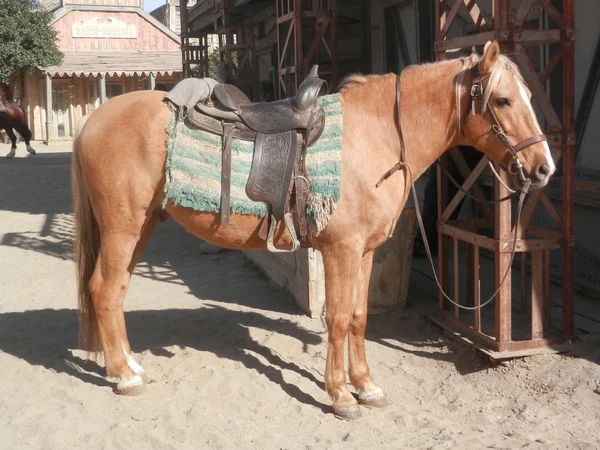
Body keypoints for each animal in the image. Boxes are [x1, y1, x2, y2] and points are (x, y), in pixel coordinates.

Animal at [74, 42, 552, 418]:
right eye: (504, 101)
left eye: (529, 96)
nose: (544, 167)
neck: (376, 135)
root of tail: (92, 123)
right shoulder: (341, 251)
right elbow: (336, 319)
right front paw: (340, 395)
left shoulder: (365, 253)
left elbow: (358, 318)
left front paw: (367, 386)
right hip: (122, 229)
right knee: (103, 290)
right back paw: (124, 376)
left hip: (140, 228)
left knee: (116, 291)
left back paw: (130, 364)